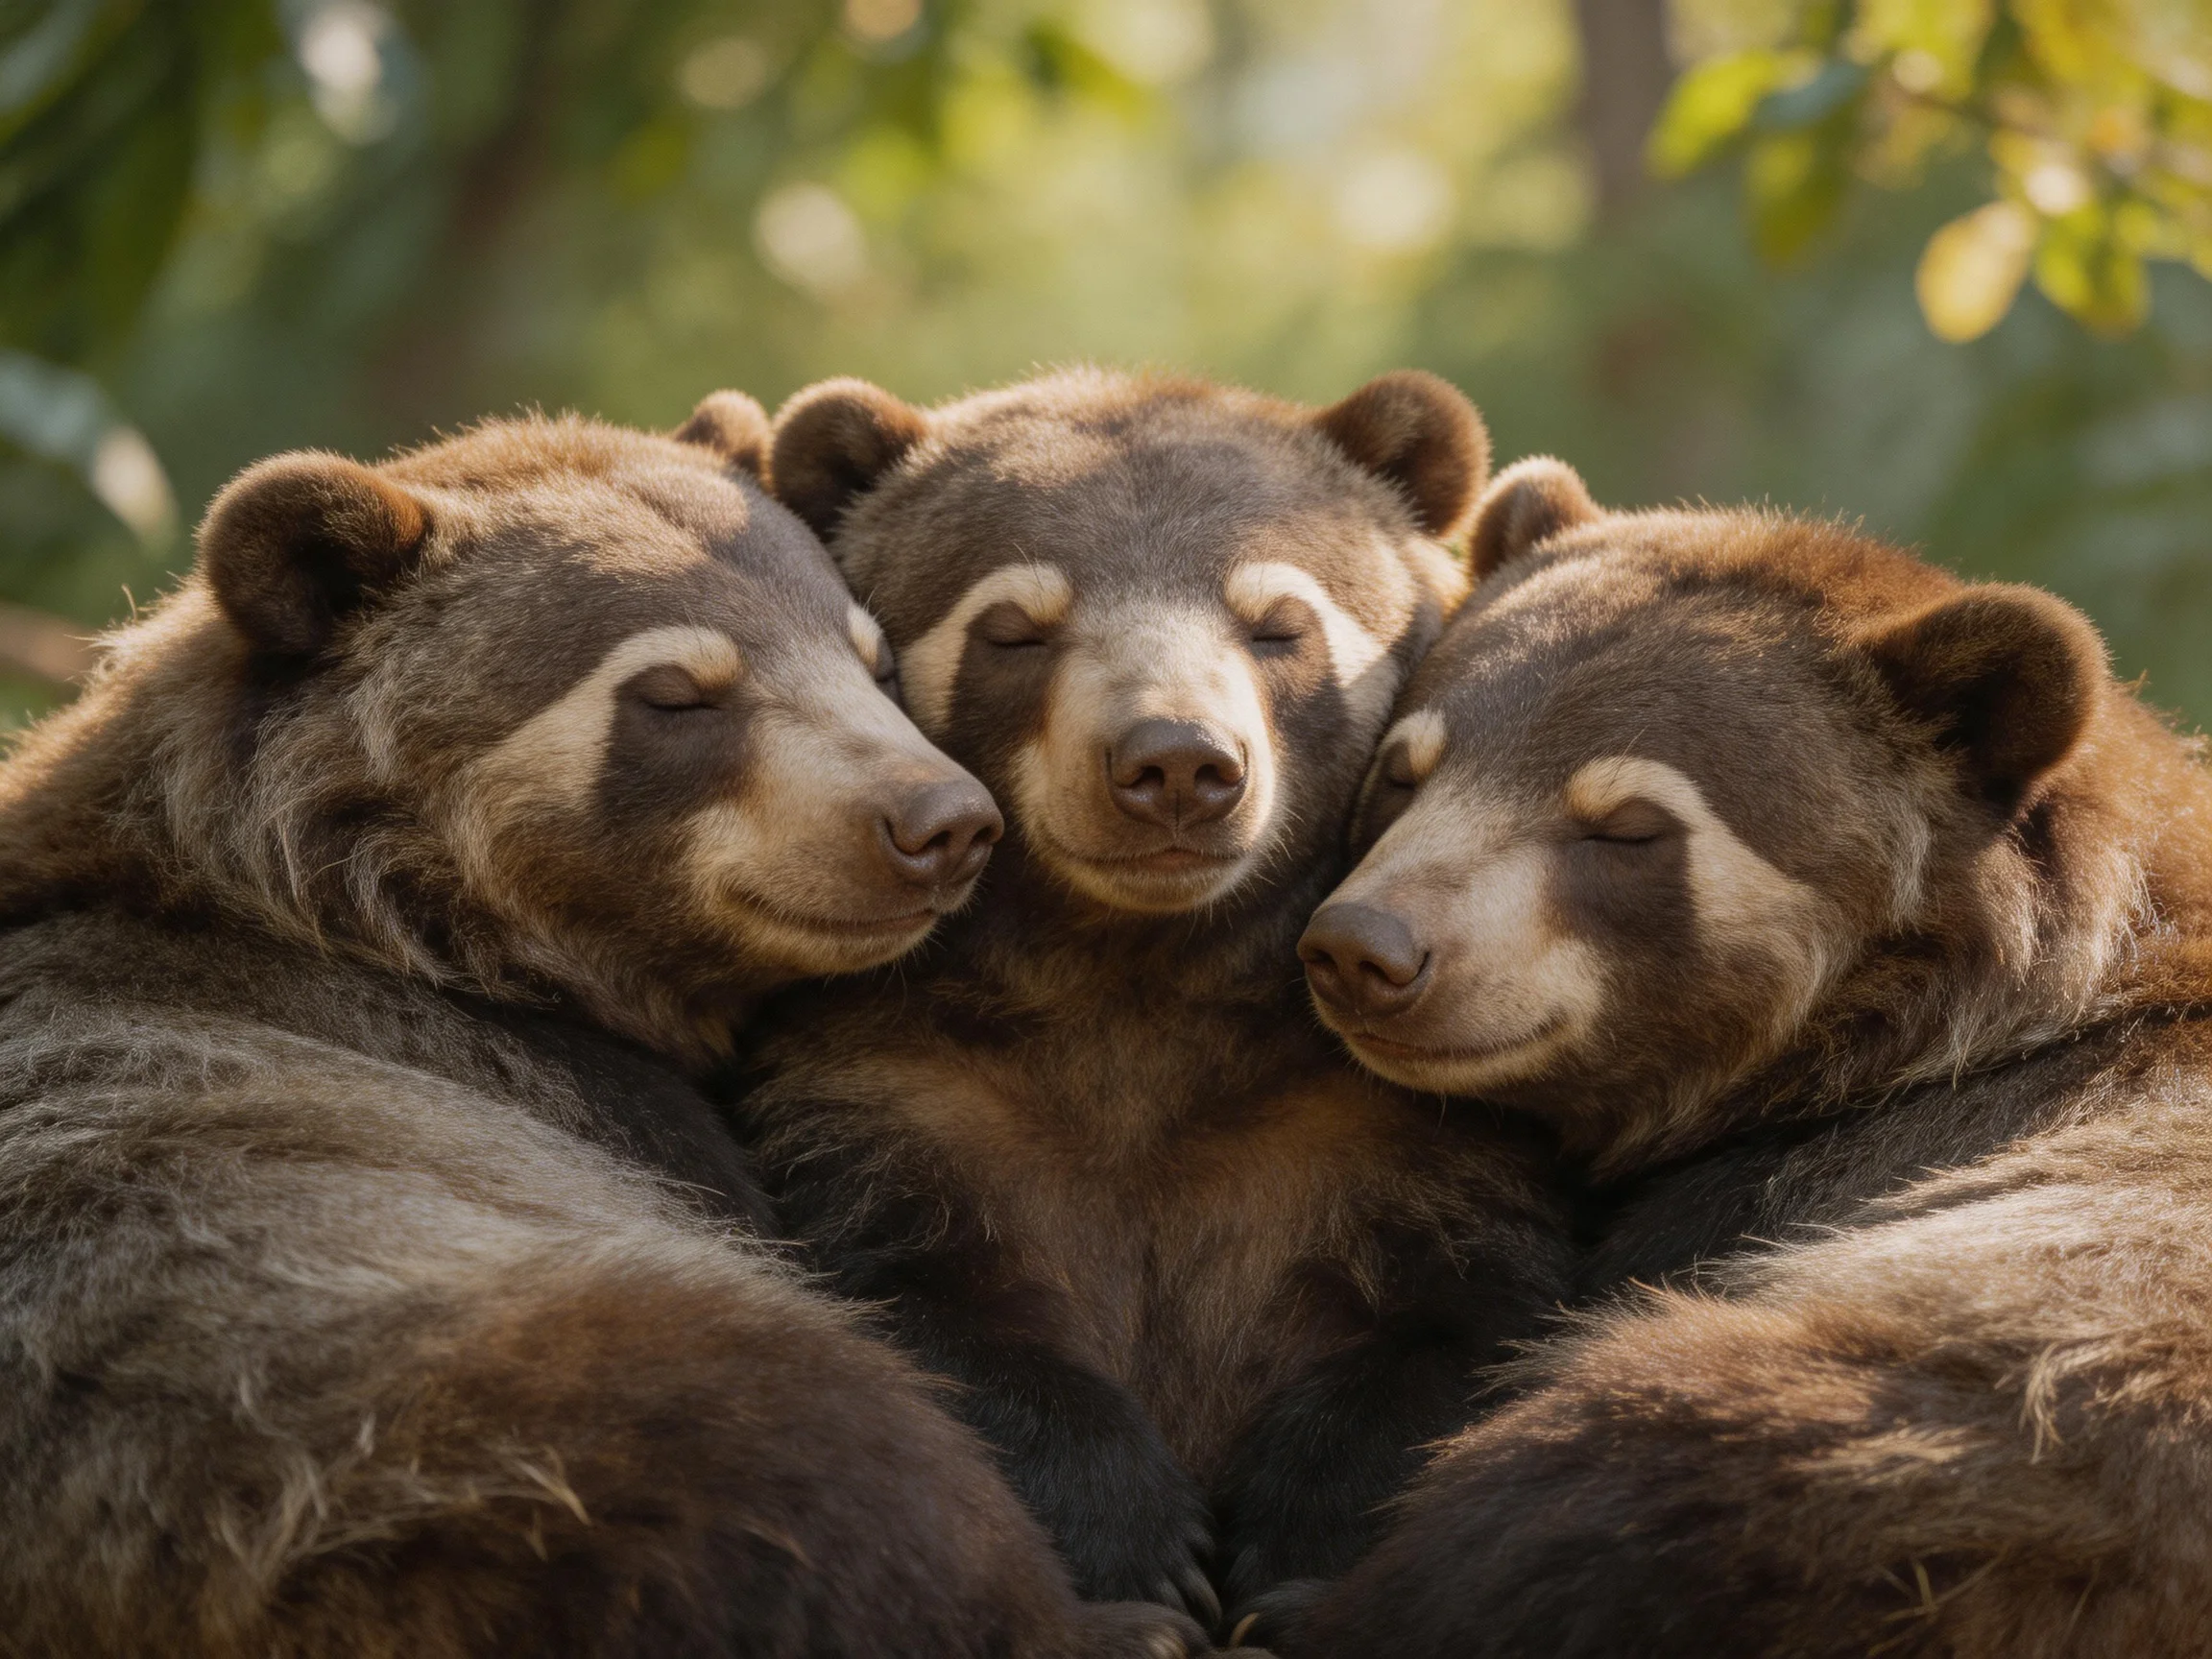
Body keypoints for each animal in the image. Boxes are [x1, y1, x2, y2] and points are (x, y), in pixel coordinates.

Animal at [743, 368, 1577, 1637]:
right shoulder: (903, 1080)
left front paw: (1290, 1543)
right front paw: (1146, 1548)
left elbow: (1461, 1320)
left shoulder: (1379, 1116)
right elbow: (915, 1301)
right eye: (1014, 625)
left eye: (1278, 620)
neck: (1139, 980)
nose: (1177, 763)